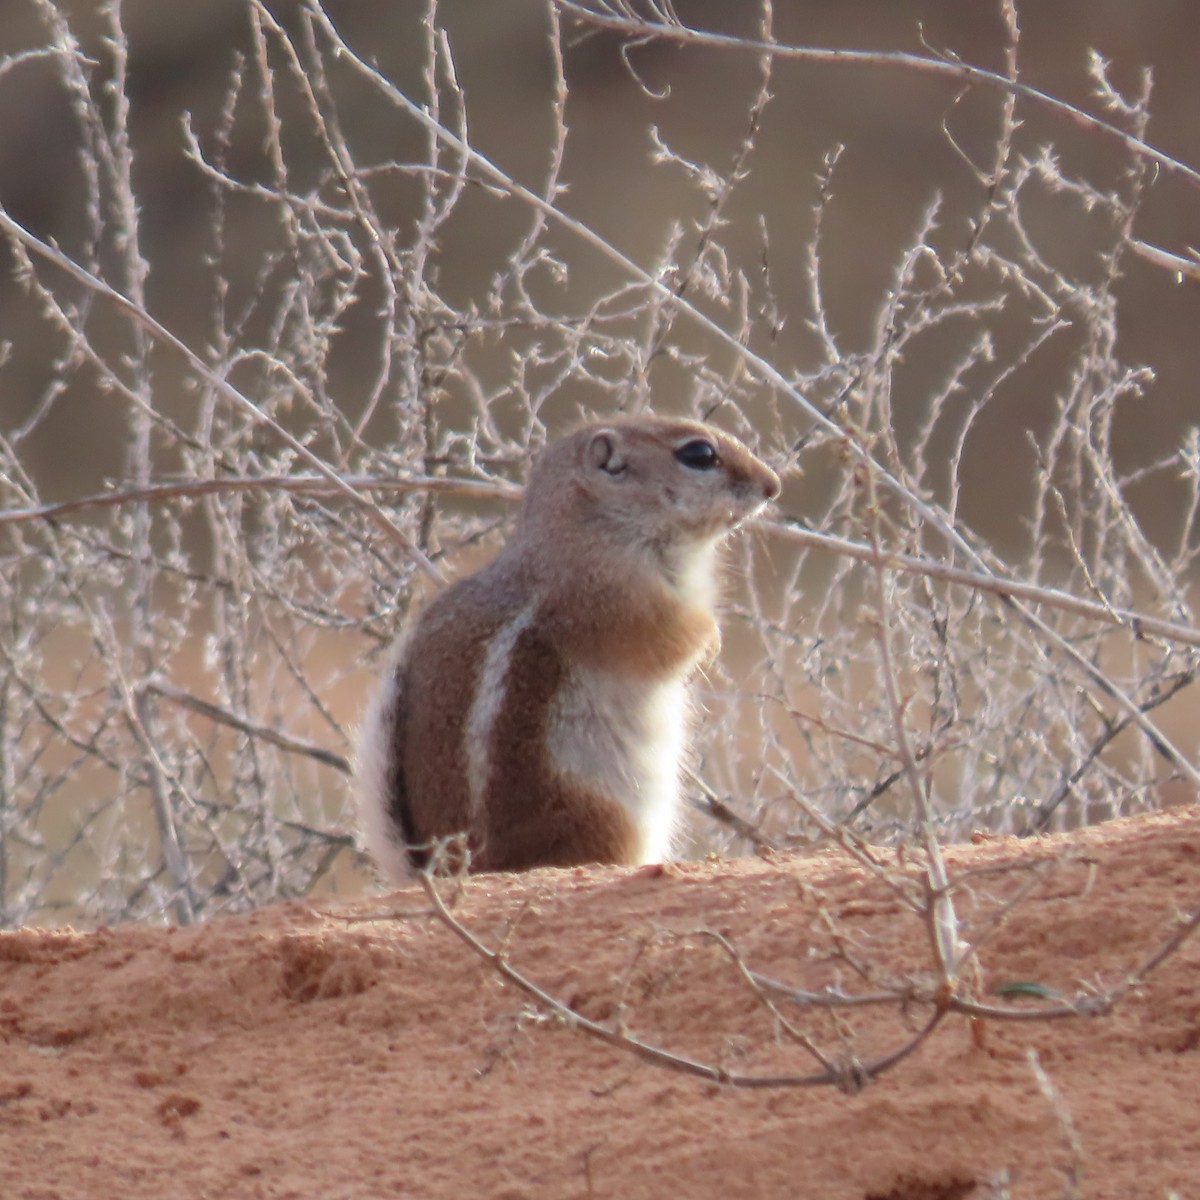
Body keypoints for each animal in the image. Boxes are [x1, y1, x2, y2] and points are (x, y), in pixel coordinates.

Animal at [356, 415, 780, 879]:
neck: (588, 527)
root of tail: (452, 869)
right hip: (604, 815)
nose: (773, 485)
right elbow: (674, 643)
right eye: (699, 455)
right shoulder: (622, 603)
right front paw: (710, 642)